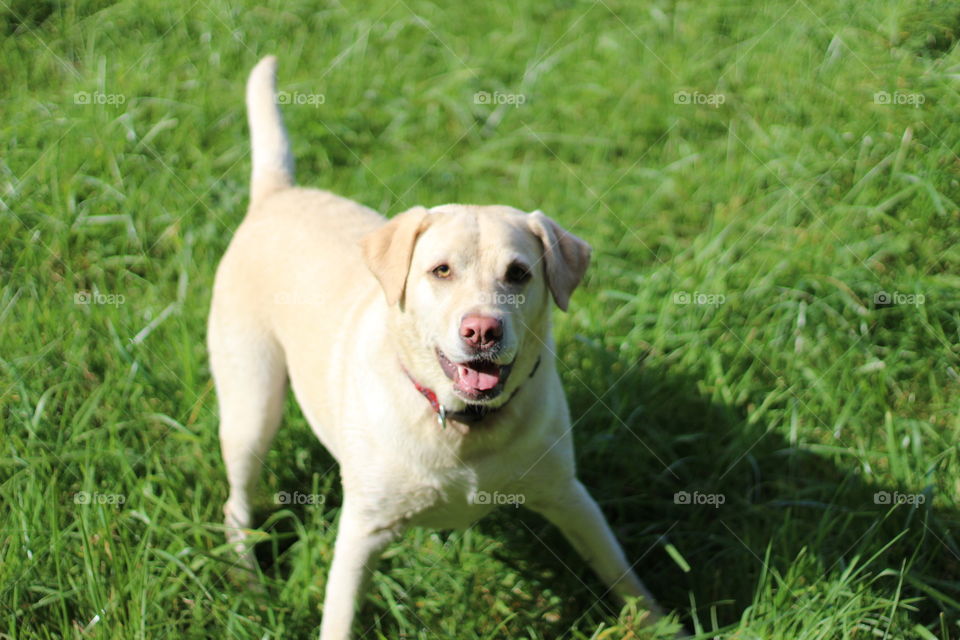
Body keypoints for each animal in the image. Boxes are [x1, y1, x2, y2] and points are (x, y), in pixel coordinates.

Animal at [210, 56, 676, 640]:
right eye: (441, 271)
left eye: (519, 273)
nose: (482, 330)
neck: (463, 426)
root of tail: (277, 194)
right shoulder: (362, 530)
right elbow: (339, 613)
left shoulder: (569, 495)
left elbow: (620, 571)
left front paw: (662, 624)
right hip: (251, 408)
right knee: (235, 504)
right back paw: (247, 580)